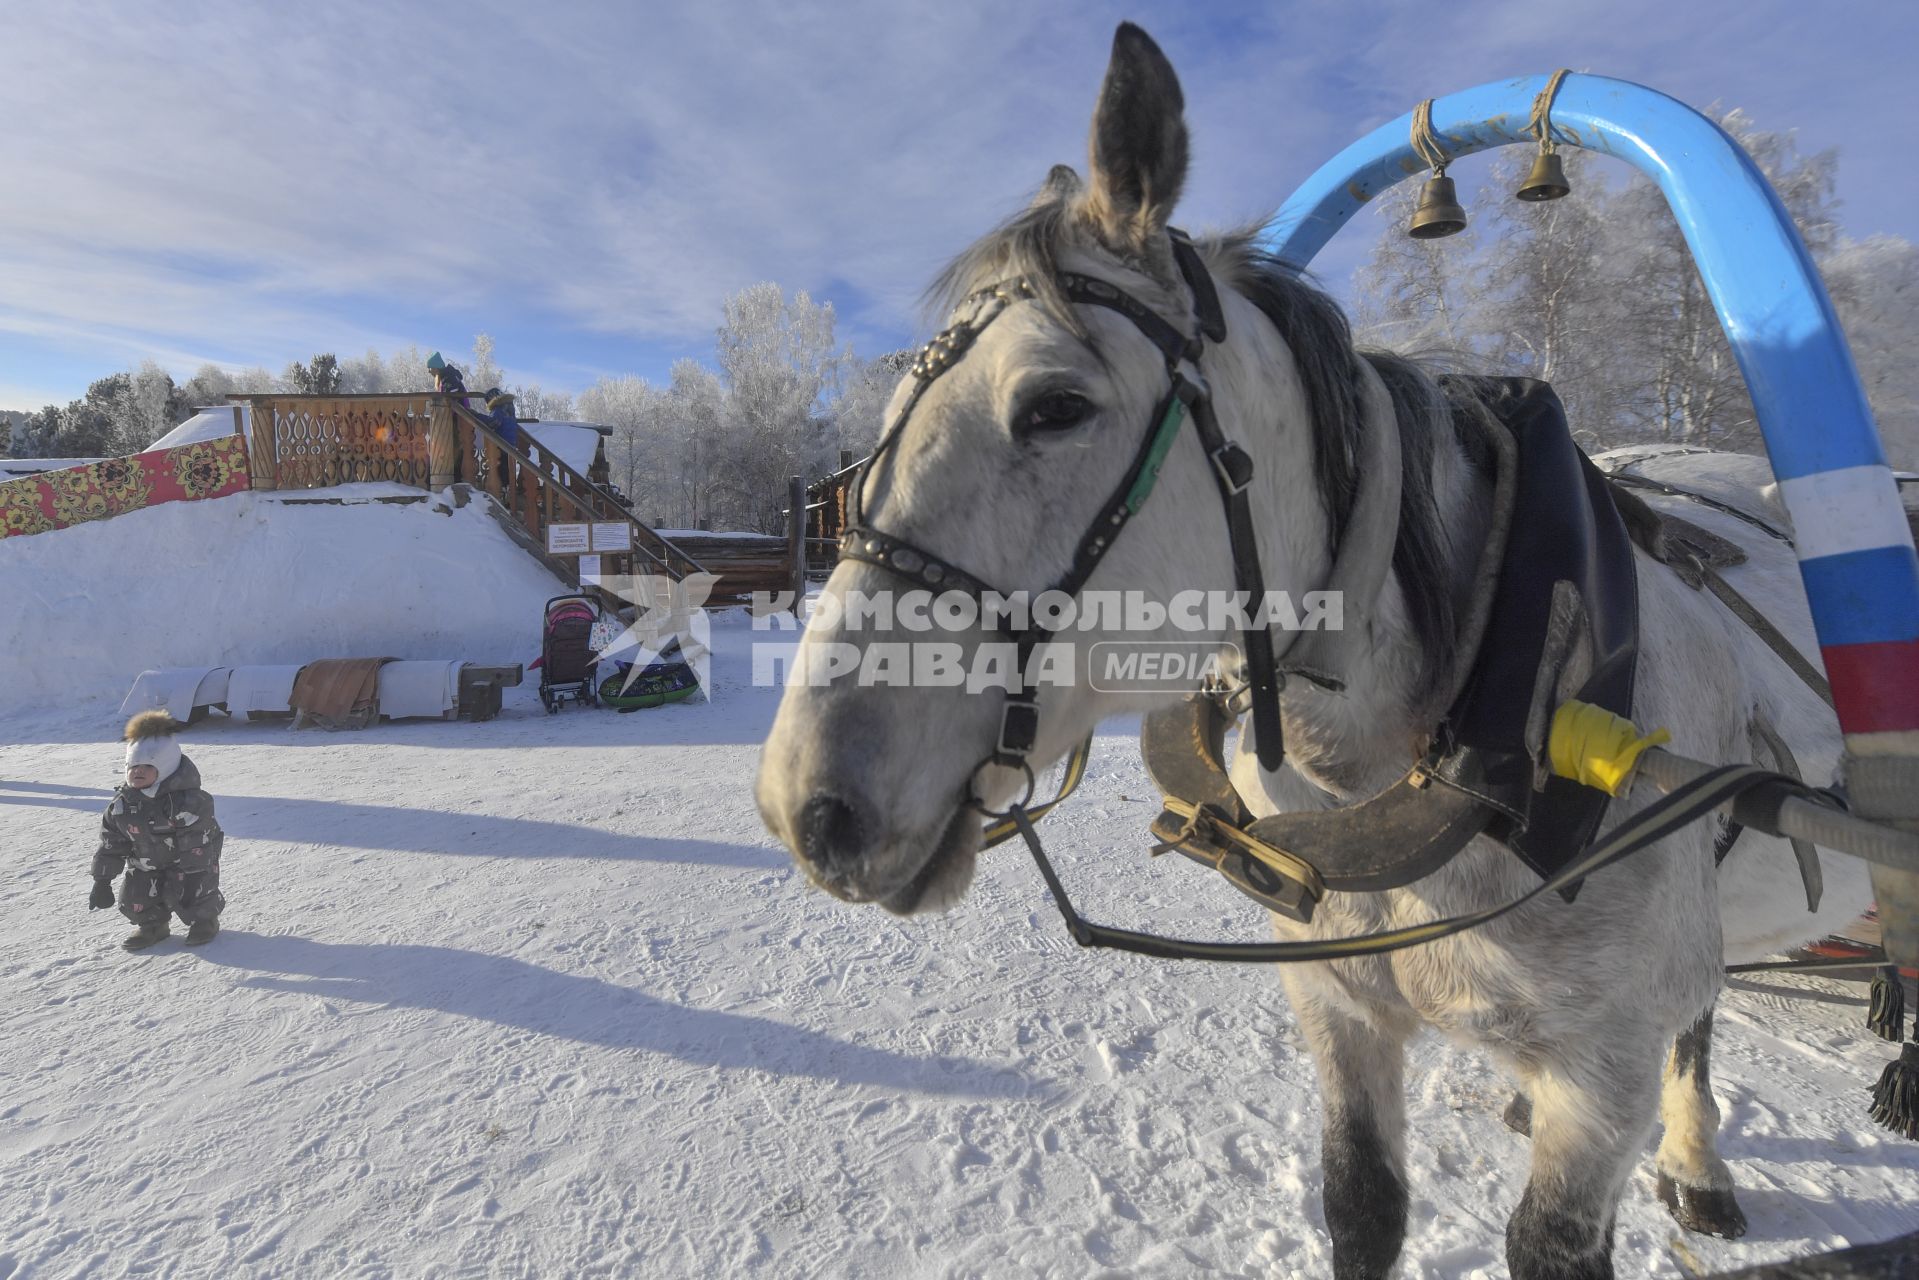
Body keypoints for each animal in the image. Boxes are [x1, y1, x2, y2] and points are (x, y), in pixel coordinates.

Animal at [752, 22, 1872, 1280]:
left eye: (1051, 405)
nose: (805, 805)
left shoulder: (1605, 1069)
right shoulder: (1336, 1004)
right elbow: (1361, 1200)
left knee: (1699, 1015)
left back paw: (1693, 1159)